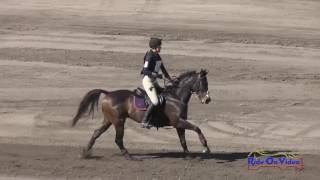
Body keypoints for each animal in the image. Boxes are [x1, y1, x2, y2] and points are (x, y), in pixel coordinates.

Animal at [72, 69, 212, 160]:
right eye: (203, 83)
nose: (207, 100)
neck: (175, 97)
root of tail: (108, 93)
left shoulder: (179, 124)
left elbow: (183, 140)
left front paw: (188, 155)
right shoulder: (178, 121)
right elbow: (197, 128)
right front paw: (206, 147)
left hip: (108, 120)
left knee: (97, 132)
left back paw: (84, 153)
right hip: (119, 121)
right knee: (118, 139)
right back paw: (128, 156)